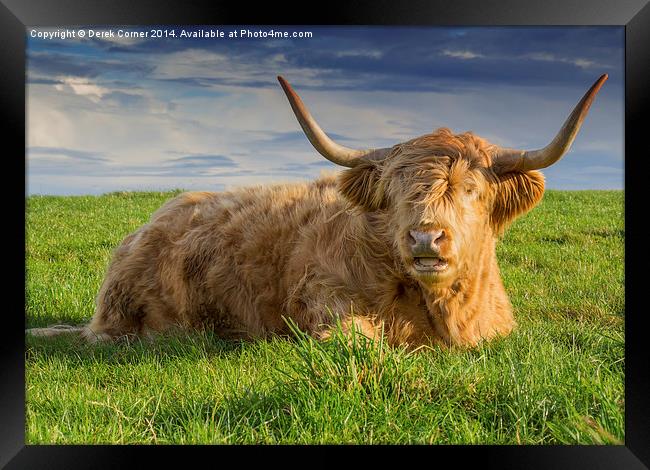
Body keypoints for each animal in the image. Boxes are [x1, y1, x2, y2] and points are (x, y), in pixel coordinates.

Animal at [29, 72, 608, 346]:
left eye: (471, 189)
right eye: (394, 190)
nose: (425, 239)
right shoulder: (324, 302)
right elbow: (363, 342)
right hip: (122, 321)